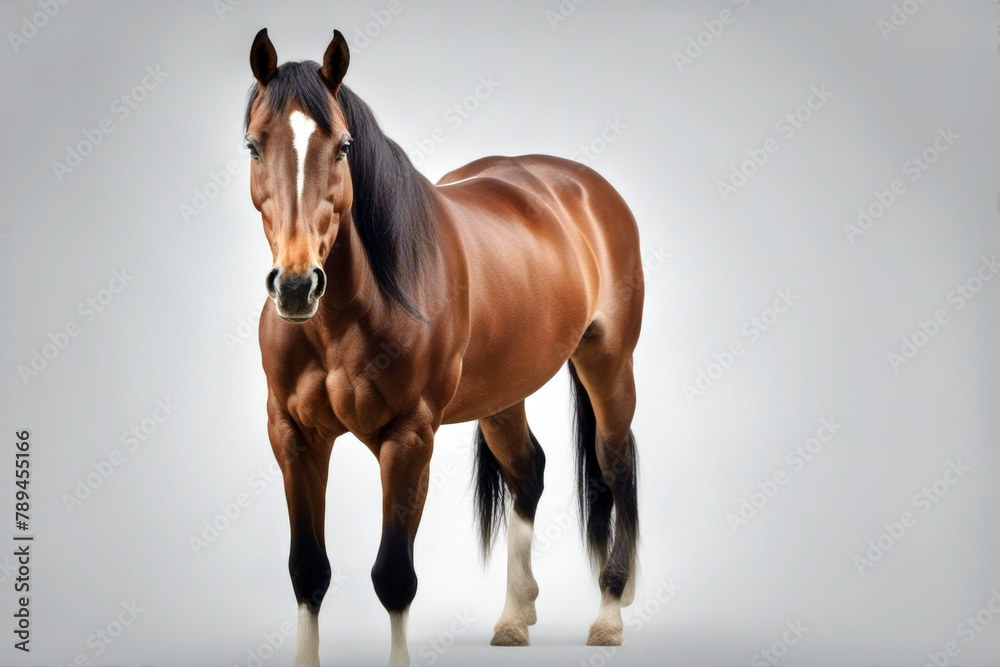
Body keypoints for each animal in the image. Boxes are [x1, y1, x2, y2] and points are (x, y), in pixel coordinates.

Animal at [244, 27, 643, 666]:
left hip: (608, 364)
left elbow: (393, 578)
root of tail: (588, 188)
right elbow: (308, 572)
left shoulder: (408, 440)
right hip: (504, 393)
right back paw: (514, 617)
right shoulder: (293, 437)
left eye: (343, 146)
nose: (298, 285)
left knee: (615, 466)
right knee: (528, 471)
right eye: (254, 146)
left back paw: (608, 612)